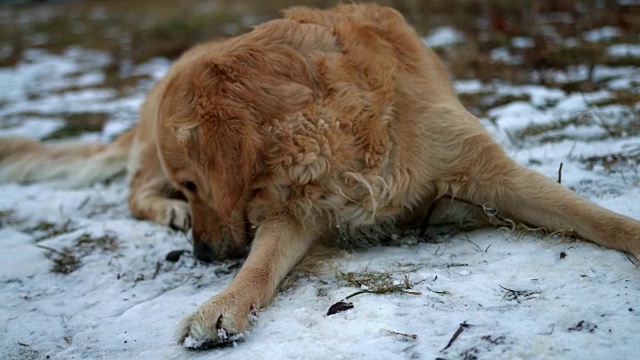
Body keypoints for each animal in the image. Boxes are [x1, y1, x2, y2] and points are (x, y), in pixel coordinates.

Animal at [1, 4, 640, 350]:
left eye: (196, 183)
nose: (203, 255)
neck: (334, 118)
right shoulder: (296, 212)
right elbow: (260, 268)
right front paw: (222, 306)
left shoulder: (486, 168)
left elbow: (592, 215)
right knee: (133, 193)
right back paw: (166, 215)